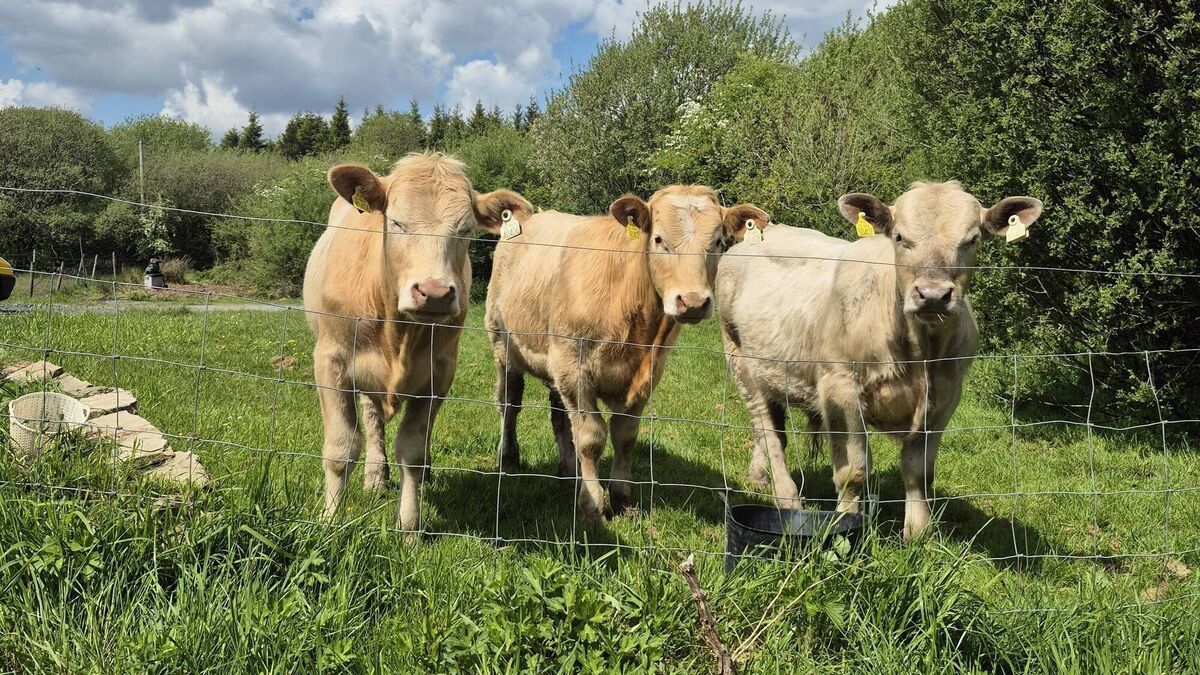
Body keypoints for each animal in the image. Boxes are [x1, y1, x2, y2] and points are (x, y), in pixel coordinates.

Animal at [303, 152, 532, 531]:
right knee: (372, 418)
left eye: (465, 229)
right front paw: (330, 520)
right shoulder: (330, 361)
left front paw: (409, 528)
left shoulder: (438, 374)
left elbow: (411, 450)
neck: (399, 333)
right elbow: (340, 449)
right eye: (396, 222)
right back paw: (375, 474)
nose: (435, 292)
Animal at [486, 186, 770, 522]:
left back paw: (568, 472)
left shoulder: (647, 374)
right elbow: (591, 437)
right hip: (504, 346)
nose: (693, 301)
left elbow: (625, 436)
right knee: (509, 403)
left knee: (559, 417)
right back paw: (509, 457)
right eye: (658, 239)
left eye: (718, 242)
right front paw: (592, 504)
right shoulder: (573, 368)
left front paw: (621, 497)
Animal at [716, 181, 1042, 540]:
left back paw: (759, 477)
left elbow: (918, 472)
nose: (932, 295)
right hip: (739, 361)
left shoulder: (945, 398)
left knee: (772, 428)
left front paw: (918, 534)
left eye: (971, 240)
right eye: (899, 236)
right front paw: (845, 524)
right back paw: (787, 498)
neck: (920, 354)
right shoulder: (840, 389)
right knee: (768, 432)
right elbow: (853, 472)